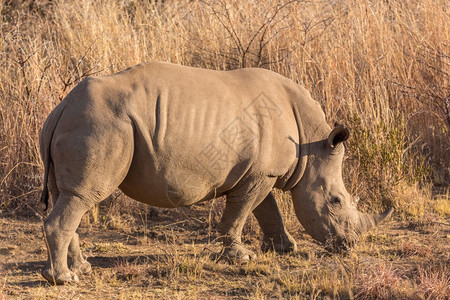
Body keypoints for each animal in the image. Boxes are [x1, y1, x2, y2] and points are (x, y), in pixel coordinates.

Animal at [40, 61, 392, 284]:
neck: (310, 144)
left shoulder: (261, 172)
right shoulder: (259, 175)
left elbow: (266, 210)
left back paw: (82, 269)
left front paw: (284, 249)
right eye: (335, 201)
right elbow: (241, 213)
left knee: (67, 196)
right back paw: (65, 279)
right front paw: (241, 257)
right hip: (100, 123)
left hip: (80, 121)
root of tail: (61, 108)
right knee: (82, 196)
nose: (348, 245)